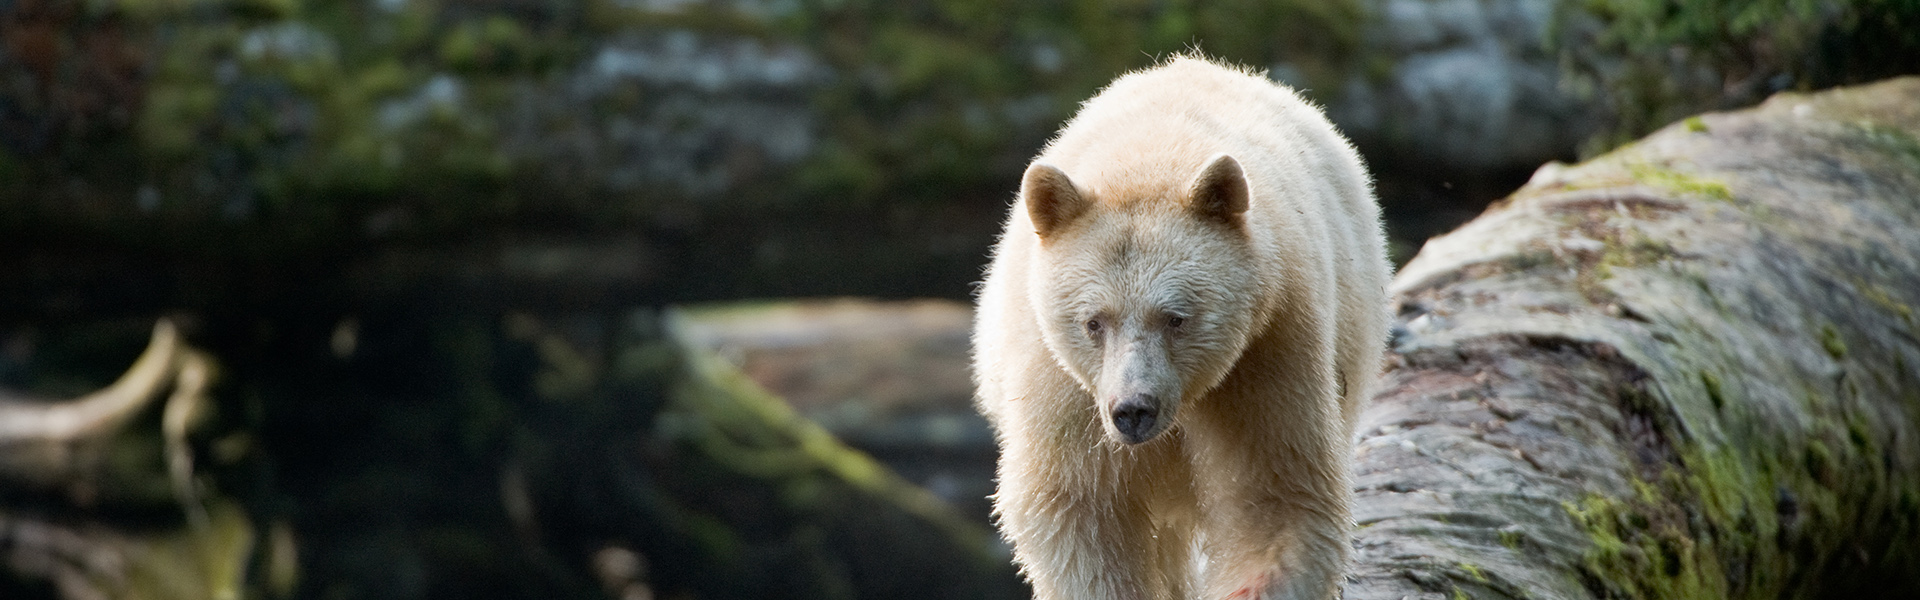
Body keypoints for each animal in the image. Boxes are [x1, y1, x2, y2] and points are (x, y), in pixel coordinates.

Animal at [971, 55, 1390, 600]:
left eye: (1176, 318)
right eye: (1093, 322)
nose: (1133, 410)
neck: (1151, 159)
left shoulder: (1268, 350)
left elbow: (1275, 496)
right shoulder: (1063, 385)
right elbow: (1079, 506)